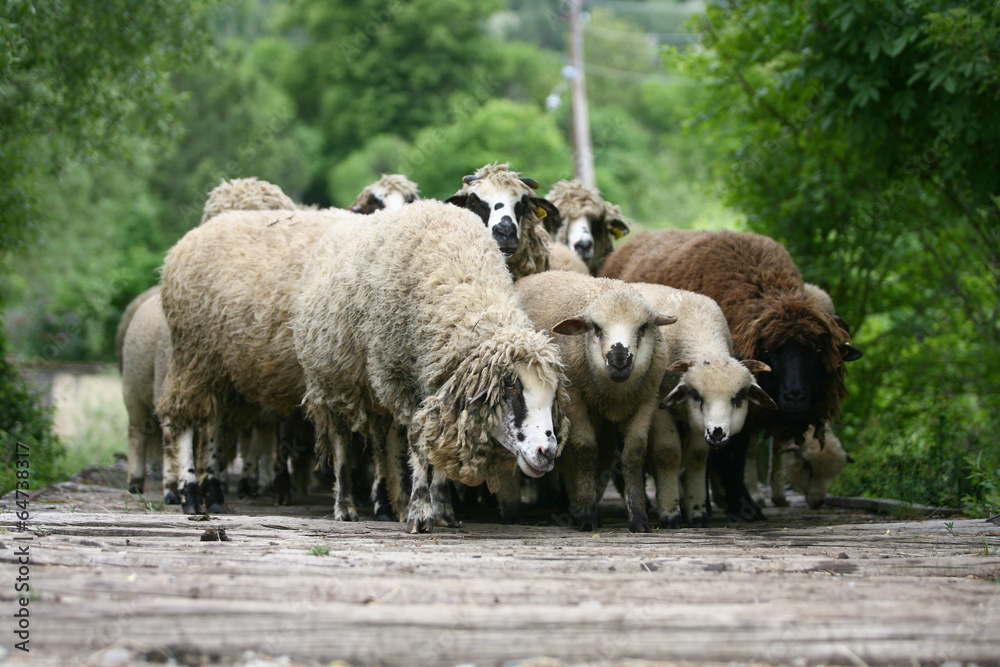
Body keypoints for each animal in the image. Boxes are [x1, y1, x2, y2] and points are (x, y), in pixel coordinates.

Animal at [292, 201, 568, 536]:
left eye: (553, 394)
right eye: (511, 385)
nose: (548, 452)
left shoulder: (443, 383)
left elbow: (441, 444)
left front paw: (442, 510)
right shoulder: (402, 381)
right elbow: (420, 445)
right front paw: (420, 513)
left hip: (374, 395)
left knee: (383, 446)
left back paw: (387, 505)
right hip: (332, 382)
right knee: (342, 444)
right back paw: (345, 507)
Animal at [516, 270, 672, 532]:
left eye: (643, 327)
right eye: (596, 328)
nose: (619, 361)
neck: (616, 391)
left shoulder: (646, 400)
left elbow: (634, 452)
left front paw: (639, 517)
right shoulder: (575, 399)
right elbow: (586, 449)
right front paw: (587, 514)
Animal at [600, 230, 860, 520]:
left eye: (817, 350)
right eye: (770, 351)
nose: (795, 397)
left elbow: (733, 453)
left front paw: (735, 502)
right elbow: (727, 456)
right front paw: (737, 504)